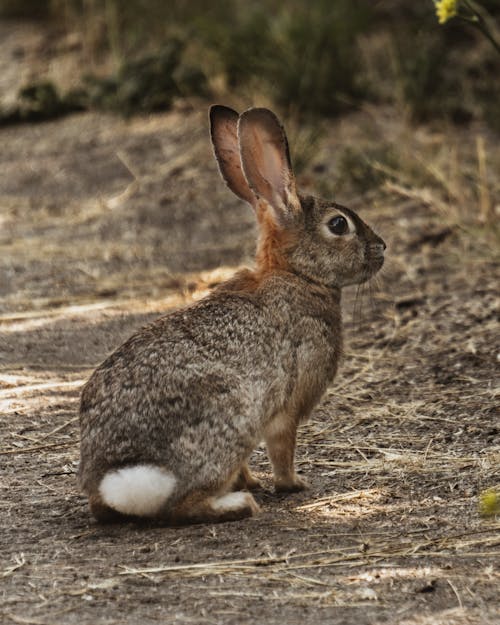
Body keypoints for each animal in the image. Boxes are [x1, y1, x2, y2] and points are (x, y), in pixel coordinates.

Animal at [78, 105, 384, 524]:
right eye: (339, 224)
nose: (382, 247)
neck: (296, 274)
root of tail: (118, 477)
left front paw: (253, 481)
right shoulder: (287, 406)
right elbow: (282, 449)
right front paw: (294, 484)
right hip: (231, 417)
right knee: (182, 506)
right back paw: (239, 504)